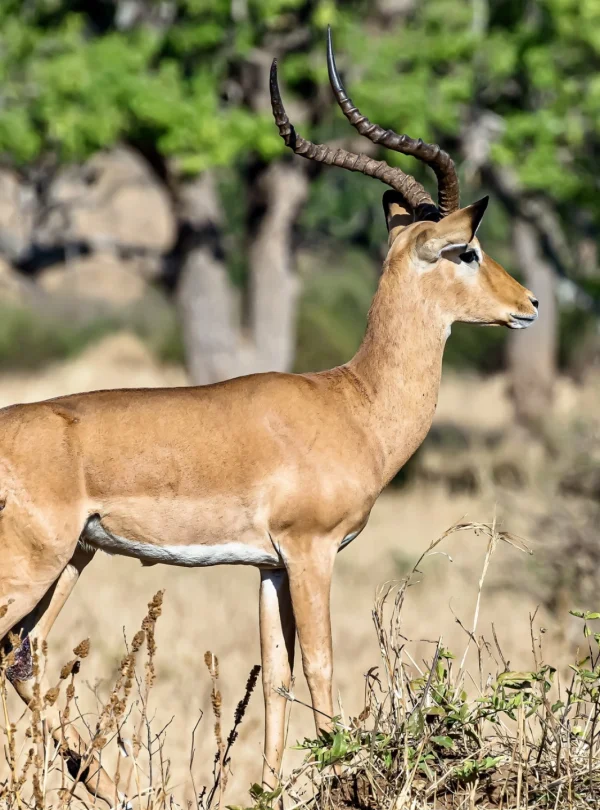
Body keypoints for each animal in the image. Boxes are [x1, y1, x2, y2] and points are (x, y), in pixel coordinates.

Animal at [0, 29, 537, 807]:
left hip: (72, 560)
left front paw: (274, 788)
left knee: (26, 657)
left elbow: (277, 674)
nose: (529, 304)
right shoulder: (312, 553)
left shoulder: (269, 566)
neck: (352, 402)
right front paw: (343, 776)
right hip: (33, 564)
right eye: (466, 250)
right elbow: (319, 664)